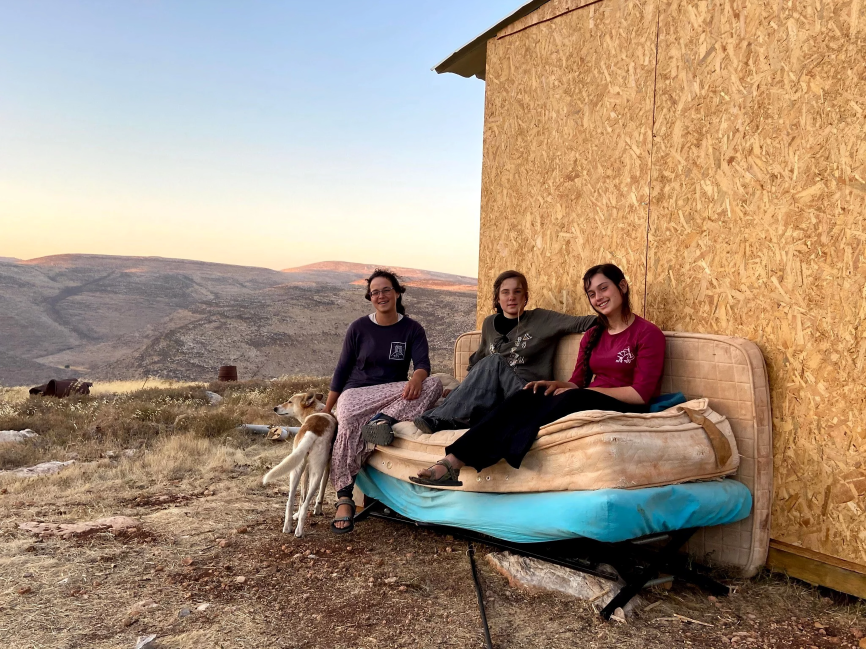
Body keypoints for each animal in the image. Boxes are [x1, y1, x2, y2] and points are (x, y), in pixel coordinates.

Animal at [262, 392, 336, 537]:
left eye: (290, 401)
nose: (275, 408)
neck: (314, 411)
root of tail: (312, 431)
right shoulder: (325, 467)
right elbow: (318, 493)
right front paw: (317, 509)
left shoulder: (307, 469)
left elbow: (302, 497)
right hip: (316, 473)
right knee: (306, 502)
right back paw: (299, 531)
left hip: (296, 471)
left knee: (291, 500)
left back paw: (288, 527)